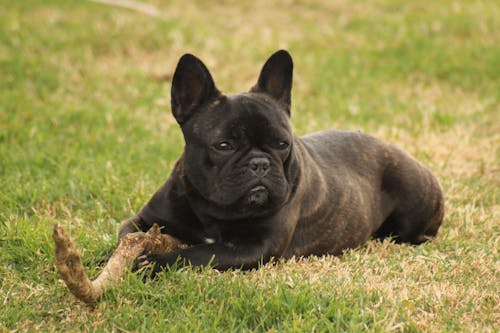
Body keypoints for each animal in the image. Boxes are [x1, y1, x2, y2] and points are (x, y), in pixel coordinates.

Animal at [118, 49, 446, 272]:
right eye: (224, 145)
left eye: (281, 144)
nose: (260, 163)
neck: (214, 211)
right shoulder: (145, 219)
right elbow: (124, 237)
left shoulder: (255, 247)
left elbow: (197, 254)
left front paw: (155, 261)